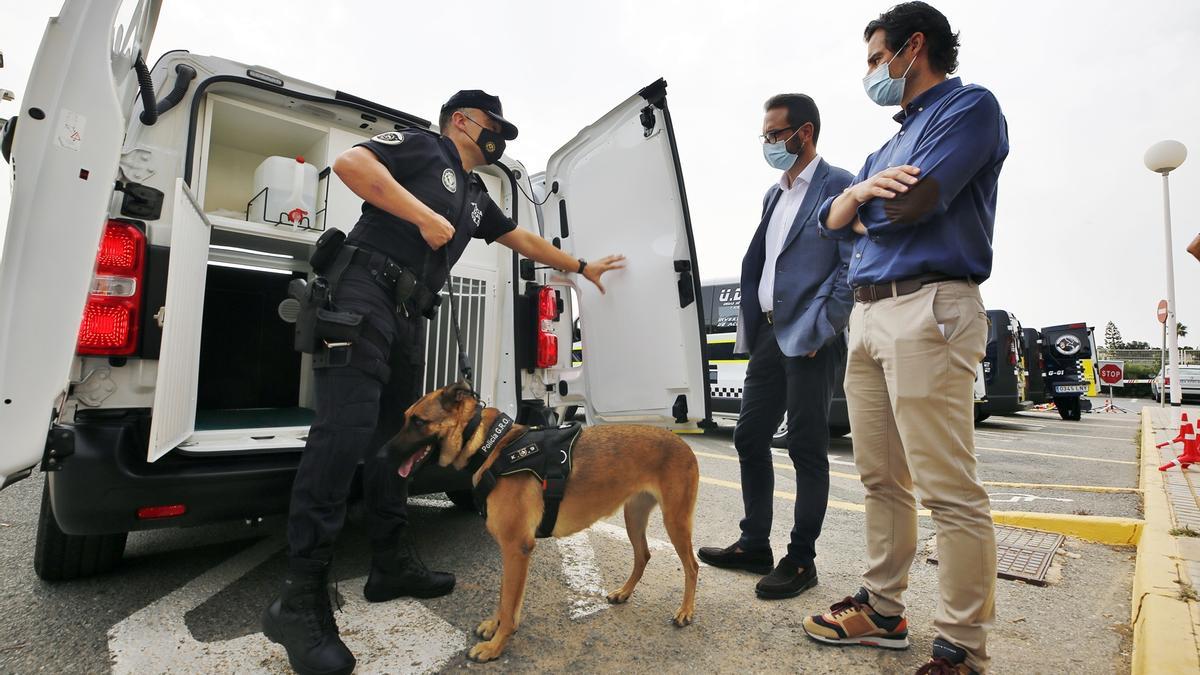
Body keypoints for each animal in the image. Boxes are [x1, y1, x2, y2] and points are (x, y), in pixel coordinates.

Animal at [384, 381, 700, 658]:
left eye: (418, 422)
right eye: (406, 419)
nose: (383, 454)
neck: (491, 446)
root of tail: (681, 442)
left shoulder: (516, 548)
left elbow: (509, 602)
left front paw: (495, 647)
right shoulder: (511, 551)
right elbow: (505, 598)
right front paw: (496, 628)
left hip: (675, 521)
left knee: (692, 566)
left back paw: (685, 612)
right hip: (633, 517)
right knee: (643, 555)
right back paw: (623, 592)